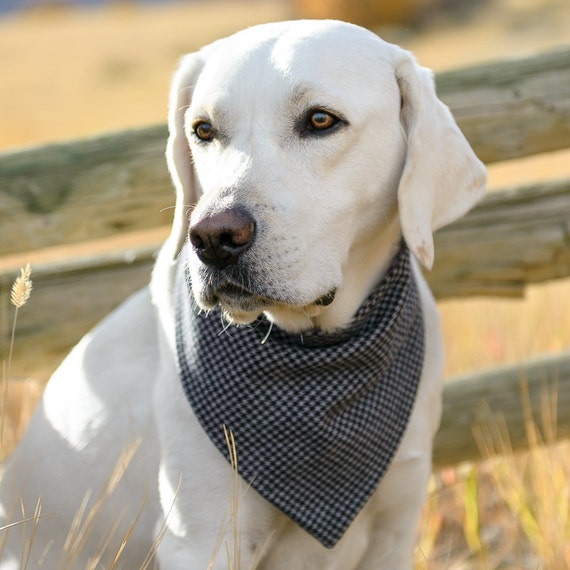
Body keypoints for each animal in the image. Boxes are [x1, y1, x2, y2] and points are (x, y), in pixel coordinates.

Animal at [0, 18, 484, 568]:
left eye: (321, 120)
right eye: (203, 130)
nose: (212, 238)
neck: (315, 361)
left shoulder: (396, 528)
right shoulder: (204, 536)